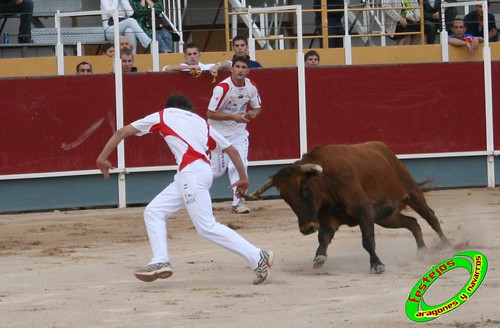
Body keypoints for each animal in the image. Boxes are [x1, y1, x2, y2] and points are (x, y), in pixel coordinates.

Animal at [248, 142, 452, 272]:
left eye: (304, 189)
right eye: (285, 197)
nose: (307, 228)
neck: (327, 182)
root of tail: (385, 150)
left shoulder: (364, 210)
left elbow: (367, 239)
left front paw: (377, 264)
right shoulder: (327, 219)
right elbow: (323, 238)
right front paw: (319, 258)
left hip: (412, 193)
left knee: (431, 218)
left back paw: (449, 245)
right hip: (387, 217)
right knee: (413, 223)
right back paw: (422, 252)